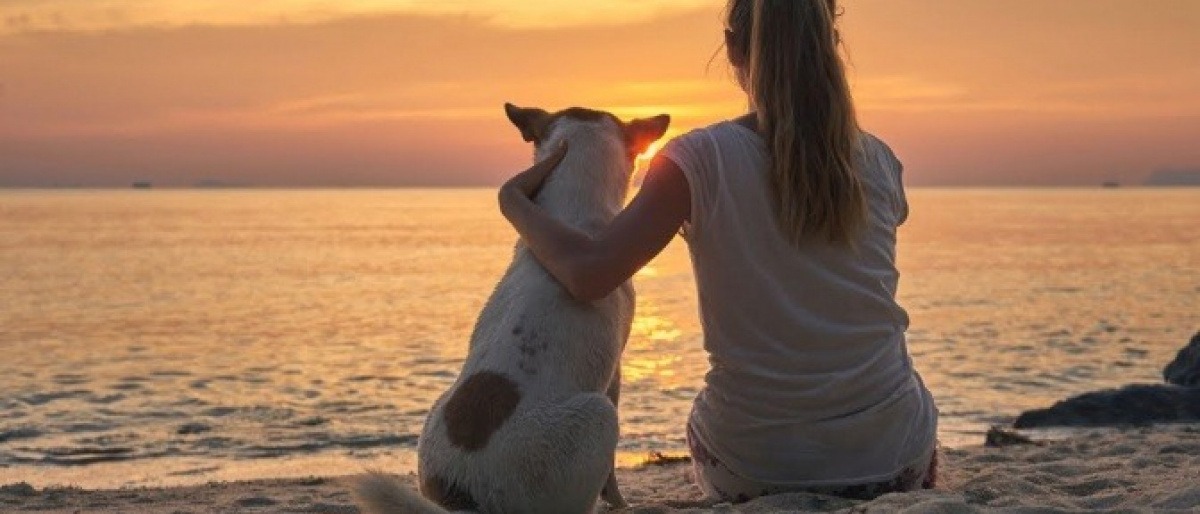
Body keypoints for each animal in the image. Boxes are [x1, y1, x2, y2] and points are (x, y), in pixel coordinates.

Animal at [352, 102, 676, 511]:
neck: (570, 216)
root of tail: (465, 495)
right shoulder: (614, 371)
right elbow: (612, 475)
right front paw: (619, 502)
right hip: (596, 417)